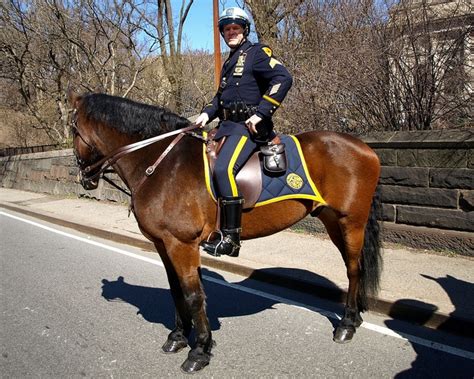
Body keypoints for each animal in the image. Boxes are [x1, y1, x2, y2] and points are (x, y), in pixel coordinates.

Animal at [69, 92, 382, 374]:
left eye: (72, 129)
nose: (85, 178)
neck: (162, 164)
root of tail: (365, 148)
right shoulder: (163, 243)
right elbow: (176, 290)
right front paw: (178, 337)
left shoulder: (181, 244)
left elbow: (193, 294)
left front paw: (200, 350)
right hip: (332, 221)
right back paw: (353, 319)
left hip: (351, 222)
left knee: (353, 270)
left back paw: (346, 325)